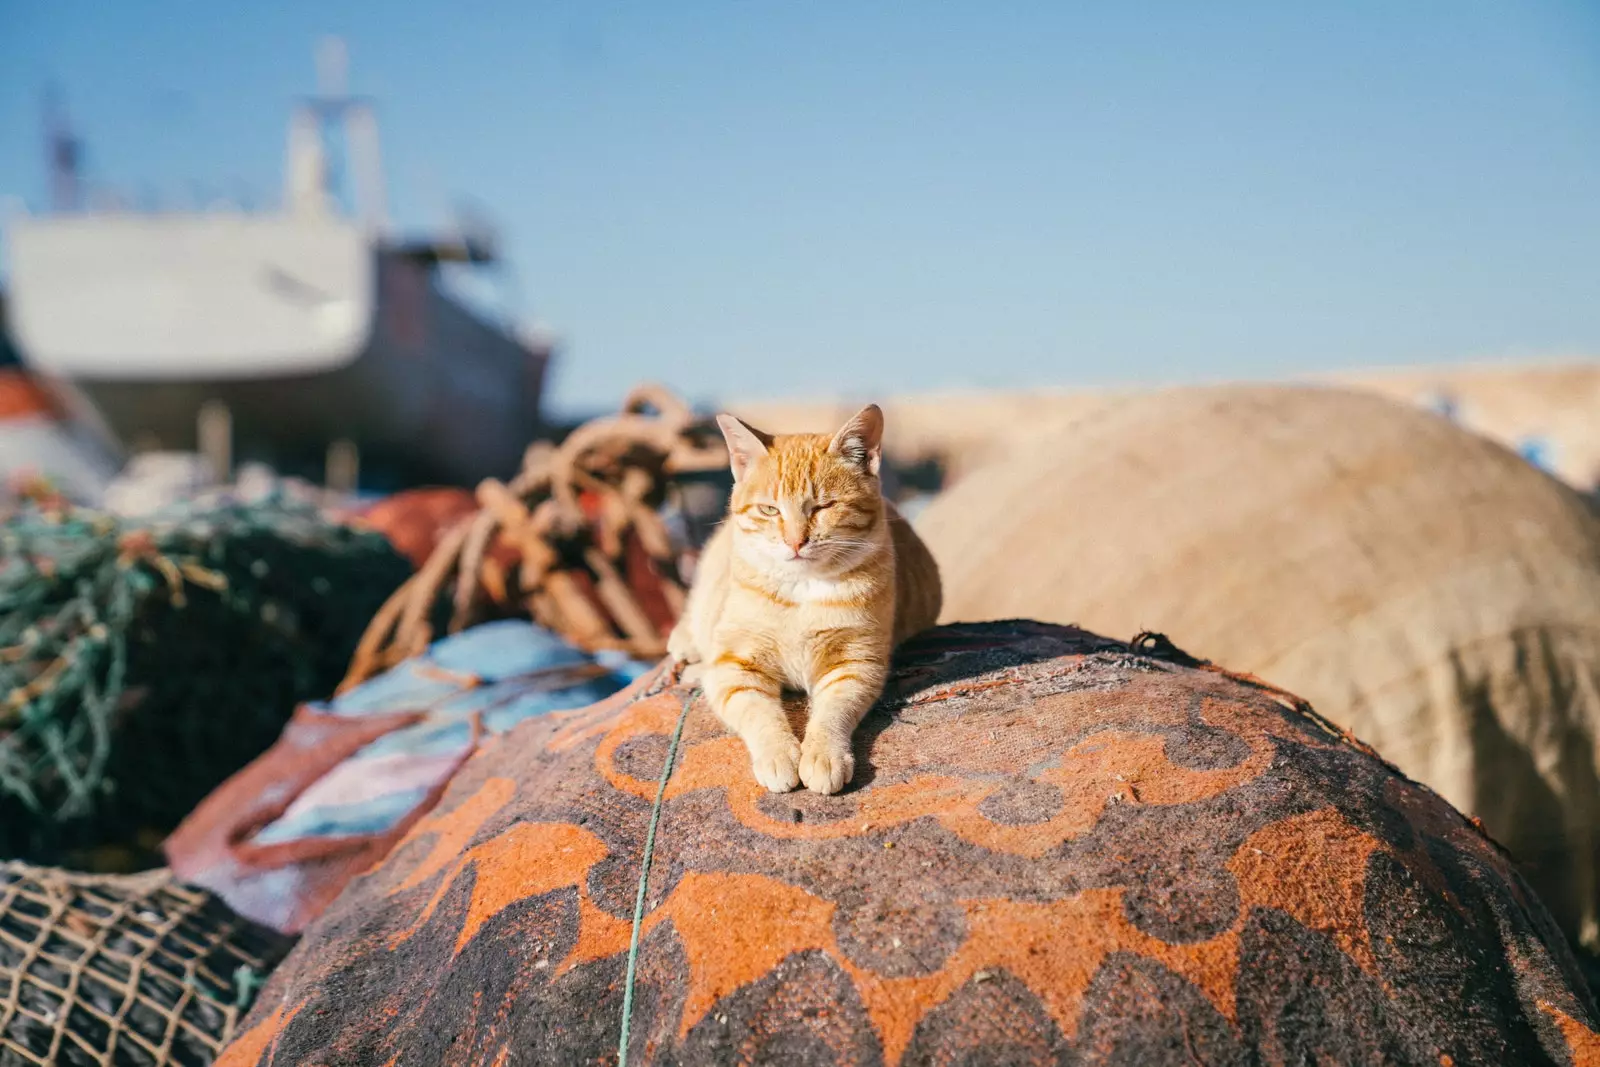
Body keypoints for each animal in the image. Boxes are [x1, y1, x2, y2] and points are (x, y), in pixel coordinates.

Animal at [668, 404, 940, 796]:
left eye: (823, 507)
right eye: (770, 510)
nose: (795, 542)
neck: (802, 591)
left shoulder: (854, 664)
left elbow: (832, 713)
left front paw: (823, 755)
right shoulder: (732, 667)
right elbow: (759, 714)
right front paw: (779, 754)